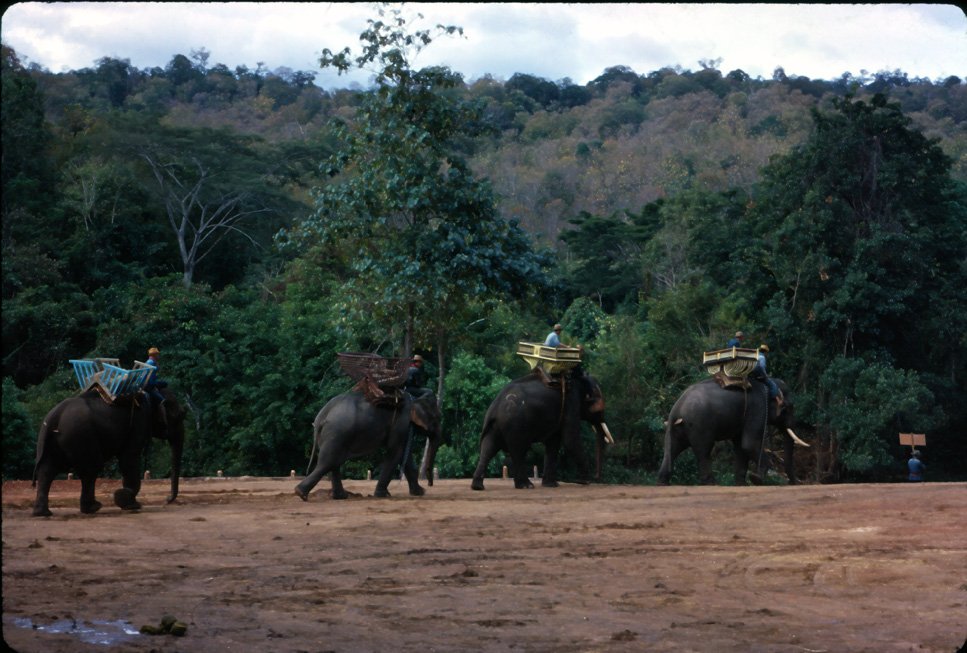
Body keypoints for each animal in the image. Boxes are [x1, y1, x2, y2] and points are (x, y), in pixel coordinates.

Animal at [32, 387, 186, 517]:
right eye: (180, 416)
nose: (167, 499)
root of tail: (54, 416)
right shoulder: (139, 422)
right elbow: (129, 457)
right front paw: (129, 503)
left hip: (56, 440)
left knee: (47, 470)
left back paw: (43, 513)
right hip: (81, 435)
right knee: (90, 469)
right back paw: (93, 507)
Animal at [294, 390, 443, 501]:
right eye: (437, 418)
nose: (430, 484)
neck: (415, 398)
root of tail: (321, 417)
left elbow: (404, 456)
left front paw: (420, 493)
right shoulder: (401, 423)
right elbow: (396, 452)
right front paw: (382, 495)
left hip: (332, 436)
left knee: (333, 462)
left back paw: (340, 496)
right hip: (337, 432)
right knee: (329, 462)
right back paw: (301, 493)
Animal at [471, 368, 613, 491]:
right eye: (599, 407)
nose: (596, 477)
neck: (579, 380)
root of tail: (495, 408)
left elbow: (553, 442)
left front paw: (551, 485)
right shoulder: (571, 403)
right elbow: (570, 440)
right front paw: (584, 481)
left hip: (495, 426)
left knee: (488, 448)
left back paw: (478, 487)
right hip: (515, 425)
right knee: (519, 451)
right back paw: (527, 486)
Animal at [657, 377, 808, 486]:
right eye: (788, 407)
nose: (794, 483)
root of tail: (676, 409)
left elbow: (741, 446)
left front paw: (742, 484)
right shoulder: (757, 408)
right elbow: (749, 444)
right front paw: (756, 479)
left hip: (679, 427)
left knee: (673, 448)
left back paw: (662, 482)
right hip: (699, 425)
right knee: (704, 451)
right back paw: (712, 483)